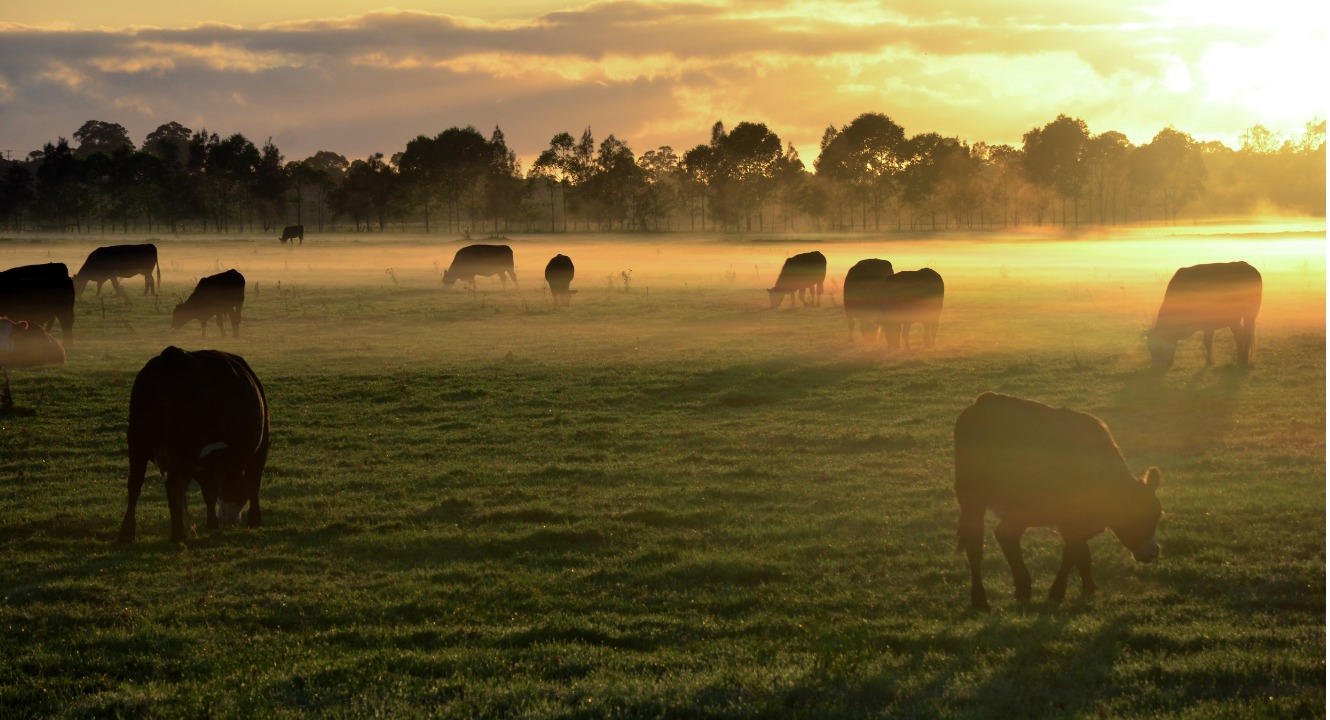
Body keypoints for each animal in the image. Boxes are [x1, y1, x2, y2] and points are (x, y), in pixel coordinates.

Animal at [121, 346, 271, 542]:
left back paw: (126, 533)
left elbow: (210, 493)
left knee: (134, 484)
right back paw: (178, 535)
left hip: (138, 440)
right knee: (173, 486)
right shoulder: (260, 449)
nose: (229, 520)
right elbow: (253, 483)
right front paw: (254, 520)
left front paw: (211, 524)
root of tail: (171, 356)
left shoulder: (205, 467)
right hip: (184, 450)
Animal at [957, 391, 1165, 609]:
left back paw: (988, 596)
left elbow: (1082, 553)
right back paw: (1011, 590)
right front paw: (1058, 592)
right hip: (1017, 505)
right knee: (1001, 536)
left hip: (974, 498)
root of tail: (988, 400)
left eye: (1157, 515)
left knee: (978, 542)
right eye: (1144, 518)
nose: (1154, 551)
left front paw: (1088, 587)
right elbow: (1073, 552)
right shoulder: (1071, 518)